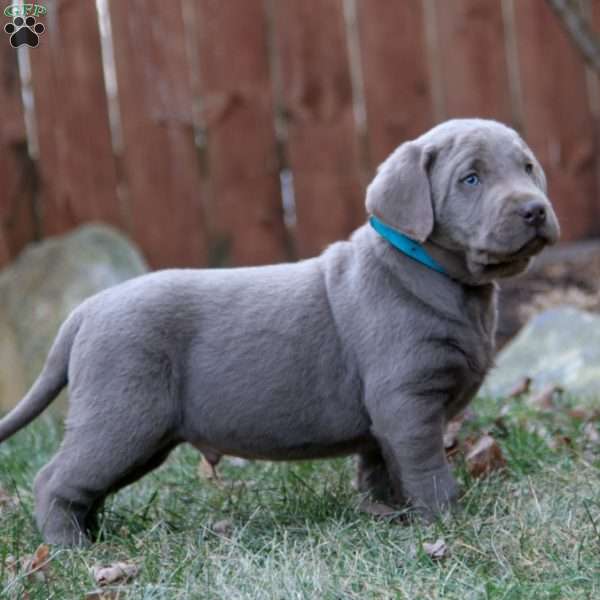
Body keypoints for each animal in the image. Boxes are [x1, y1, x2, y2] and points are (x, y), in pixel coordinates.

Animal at [1, 117, 556, 544]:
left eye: (528, 167)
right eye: (471, 179)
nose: (536, 209)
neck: (446, 281)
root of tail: (86, 309)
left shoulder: (385, 418)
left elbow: (380, 466)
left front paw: (387, 514)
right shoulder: (407, 399)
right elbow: (425, 466)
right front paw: (445, 519)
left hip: (142, 436)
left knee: (87, 486)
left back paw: (93, 534)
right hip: (121, 416)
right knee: (54, 480)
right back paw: (69, 548)